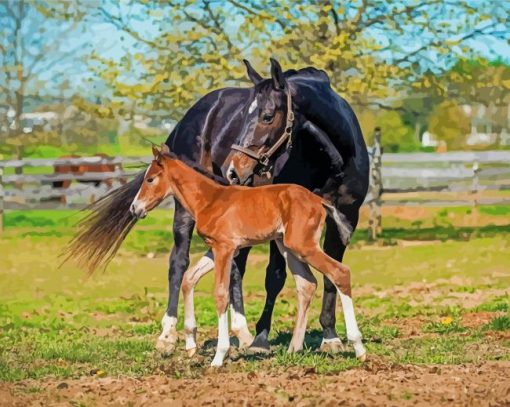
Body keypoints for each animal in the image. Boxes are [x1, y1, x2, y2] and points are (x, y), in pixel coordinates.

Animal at [129, 145, 364, 368]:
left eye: (150, 179)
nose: (134, 208)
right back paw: (293, 350)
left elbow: (221, 294)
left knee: (340, 272)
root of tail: (318, 200)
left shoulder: (224, 248)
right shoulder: (217, 248)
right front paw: (190, 345)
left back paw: (358, 348)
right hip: (287, 246)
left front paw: (218, 357)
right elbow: (189, 278)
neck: (209, 199)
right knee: (306, 284)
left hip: (303, 245)